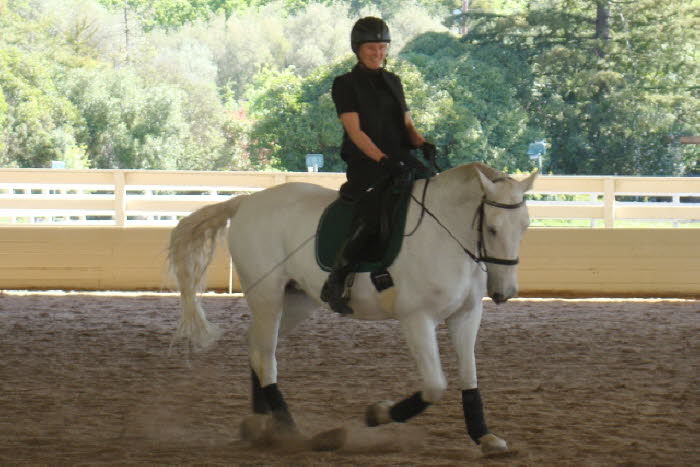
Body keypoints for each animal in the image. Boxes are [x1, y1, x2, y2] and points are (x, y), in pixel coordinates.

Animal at [168, 163, 536, 456]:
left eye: (525, 226)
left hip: (296, 300)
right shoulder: (417, 319)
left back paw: (260, 425)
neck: (447, 235)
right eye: (492, 228)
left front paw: (485, 436)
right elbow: (434, 386)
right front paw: (379, 414)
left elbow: (469, 377)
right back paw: (291, 430)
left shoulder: (466, 316)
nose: (504, 293)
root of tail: (248, 201)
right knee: (265, 356)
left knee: (256, 347)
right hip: (266, 296)